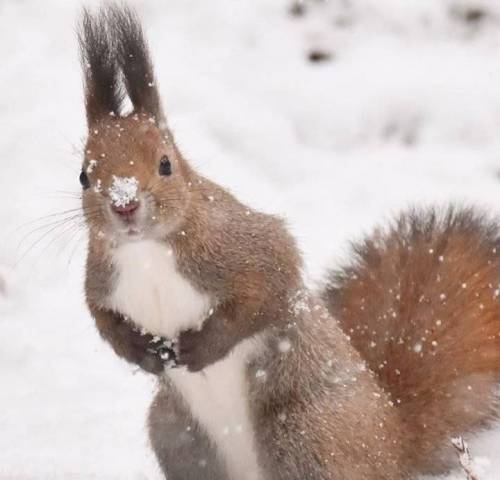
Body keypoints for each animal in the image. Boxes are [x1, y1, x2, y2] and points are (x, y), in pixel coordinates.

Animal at [77, 4, 500, 480]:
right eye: (84, 176)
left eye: (166, 164)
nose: (125, 205)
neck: (146, 253)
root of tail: (394, 442)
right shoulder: (100, 284)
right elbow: (104, 322)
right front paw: (143, 354)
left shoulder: (244, 248)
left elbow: (267, 291)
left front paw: (201, 346)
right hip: (176, 434)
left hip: (303, 432)